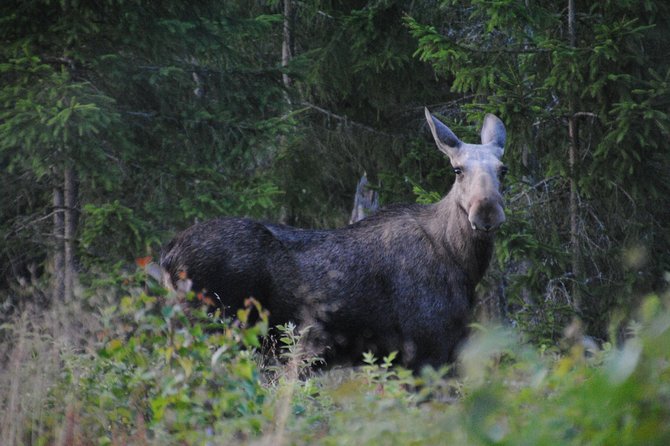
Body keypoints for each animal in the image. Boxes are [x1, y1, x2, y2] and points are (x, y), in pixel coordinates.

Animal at [161, 108, 510, 370]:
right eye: (457, 170)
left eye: (503, 170)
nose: (486, 212)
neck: (463, 266)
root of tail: (168, 256)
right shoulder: (427, 347)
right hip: (215, 328)